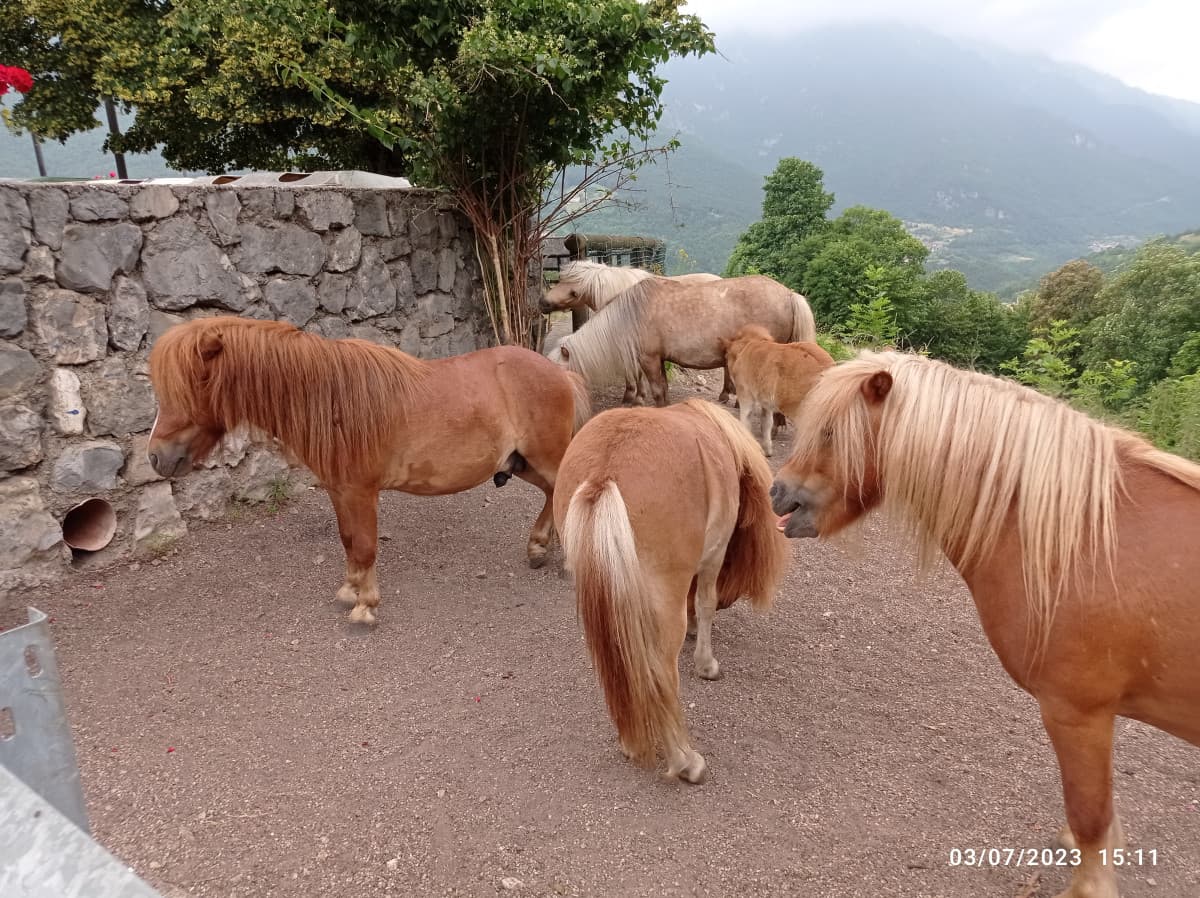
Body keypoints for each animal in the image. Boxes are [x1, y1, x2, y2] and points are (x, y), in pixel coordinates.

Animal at [150, 314, 590, 624]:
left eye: (191, 386)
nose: (156, 457)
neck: (332, 401)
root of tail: (559, 372)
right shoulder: (339, 490)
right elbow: (348, 541)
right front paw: (350, 588)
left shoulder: (360, 491)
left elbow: (364, 545)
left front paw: (365, 605)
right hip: (521, 462)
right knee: (551, 493)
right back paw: (538, 546)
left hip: (544, 456)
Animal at [552, 396, 787, 782]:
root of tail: (604, 474)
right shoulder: (713, 557)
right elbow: (705, 603)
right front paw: (706, 663)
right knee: (660, 671)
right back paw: (685, 761)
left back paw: (631, 740)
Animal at [720, 324, 835, 456]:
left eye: (726, 355)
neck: (747, 346)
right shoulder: (766, 403)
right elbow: (766, 423)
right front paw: (767, 450)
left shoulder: (745, 395)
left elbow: (745, 420)